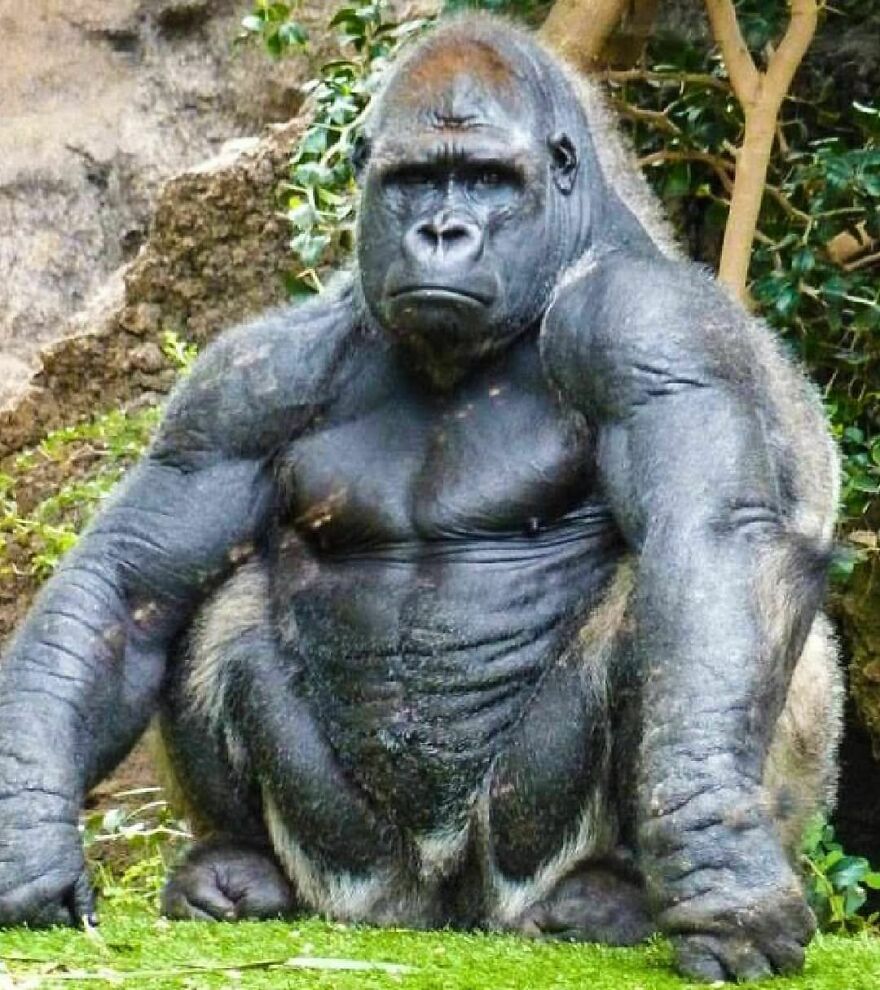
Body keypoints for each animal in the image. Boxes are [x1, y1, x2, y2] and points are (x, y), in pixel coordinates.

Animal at [0, 15, 842, 983]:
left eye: (485, 180)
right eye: (412, 182)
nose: (443, 230)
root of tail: (435, 908)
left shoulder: (655, 326)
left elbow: (710, 544)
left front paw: (719, 875)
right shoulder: (247, 378)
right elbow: (128, 581)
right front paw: (26, 840)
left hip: (510, 864)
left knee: (693, 604)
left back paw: (612, 892)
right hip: (360, 869)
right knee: (219, 603)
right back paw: (243, 867)